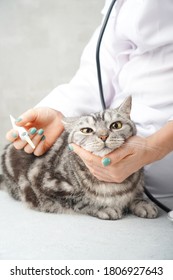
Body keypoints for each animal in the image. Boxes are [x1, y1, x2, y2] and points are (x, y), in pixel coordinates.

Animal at [0, 96, 157, 219]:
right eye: (87, 130)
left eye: (116, 125)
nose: (103, 136)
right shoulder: (46, 183)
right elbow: (81, 201)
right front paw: (104, 207)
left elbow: (137, 193)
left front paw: (143, 204)